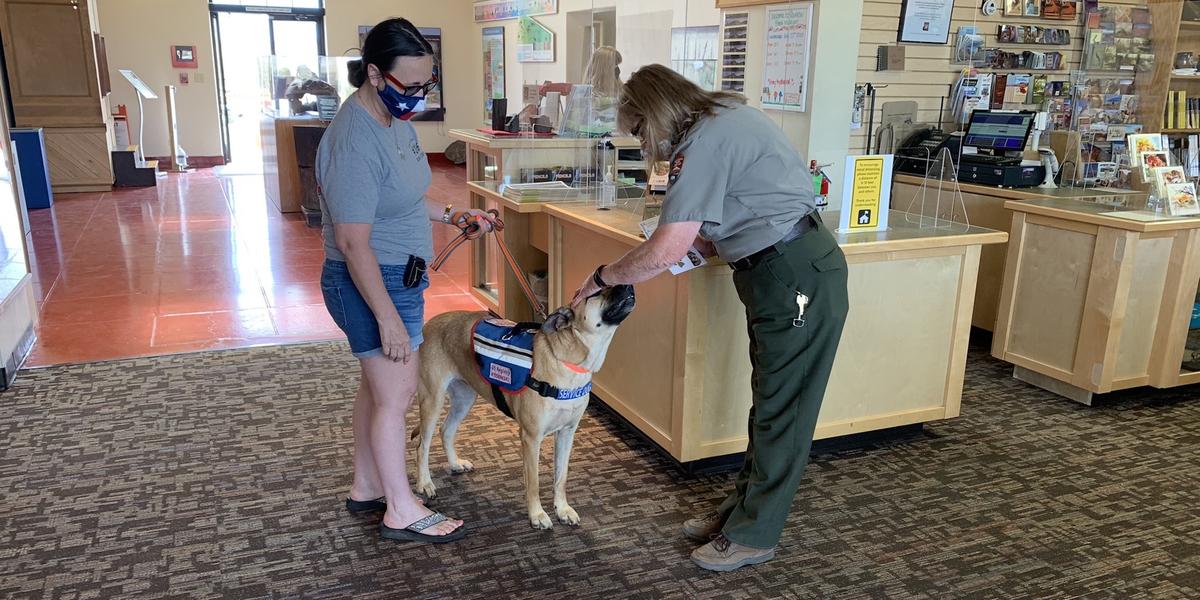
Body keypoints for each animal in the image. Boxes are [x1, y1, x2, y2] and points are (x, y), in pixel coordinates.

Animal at [415, 285, 638, 530]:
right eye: (596, 293)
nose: (629, 285)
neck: (570, 363)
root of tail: (431, 323)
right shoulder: (531, 438)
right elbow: (533, 482)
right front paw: (537, 514)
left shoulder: (567, 433)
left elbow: (561, 477)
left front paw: (562, 509)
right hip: (432, 399)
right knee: (422, 445)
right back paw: (424, 482)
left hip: (465, 398)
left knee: (446, 430)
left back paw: (454, 463)